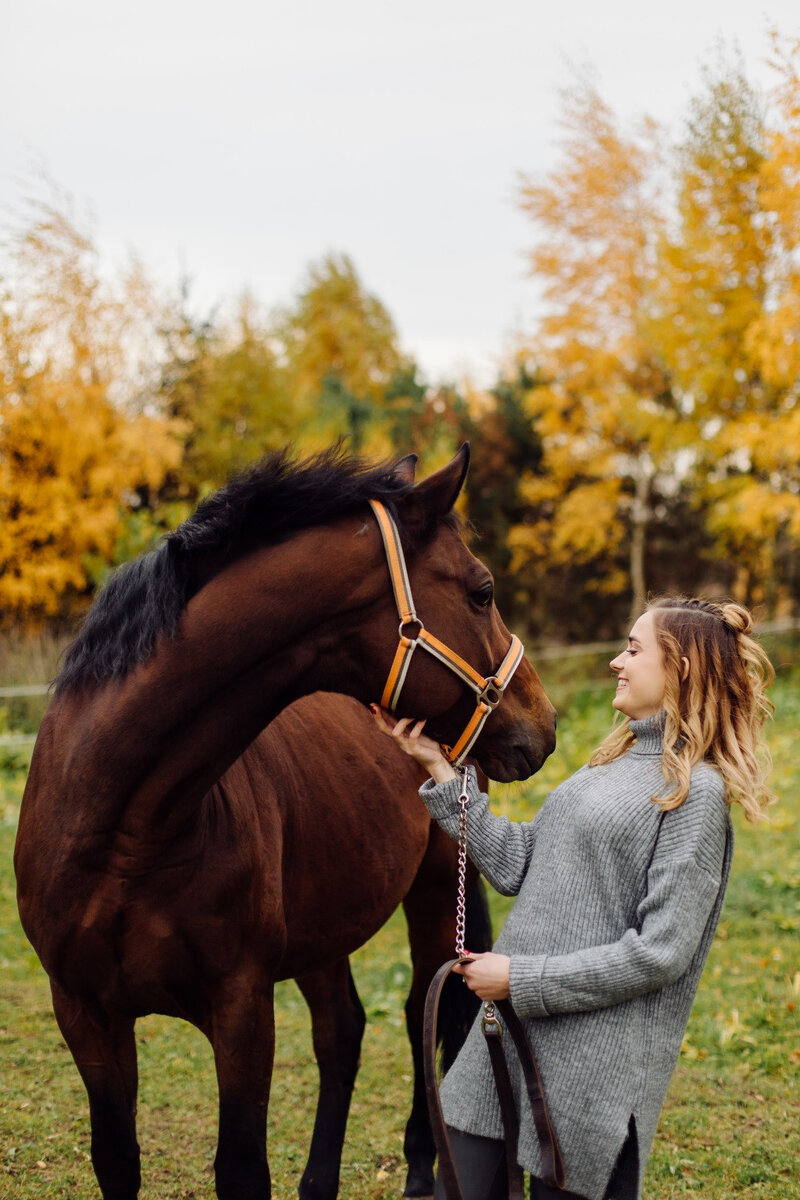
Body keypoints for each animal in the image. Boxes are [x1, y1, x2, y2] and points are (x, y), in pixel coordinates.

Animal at [14, 444, 556, 1200]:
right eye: (481, 591)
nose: (543, 724)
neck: (126, 830)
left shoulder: (242, 1007)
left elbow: (242, 1166)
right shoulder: (84, 1012)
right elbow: (117, 1159)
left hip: (426, 890)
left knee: (424, 1006)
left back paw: (423, 1166)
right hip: (324, 918)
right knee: (343, 1031)